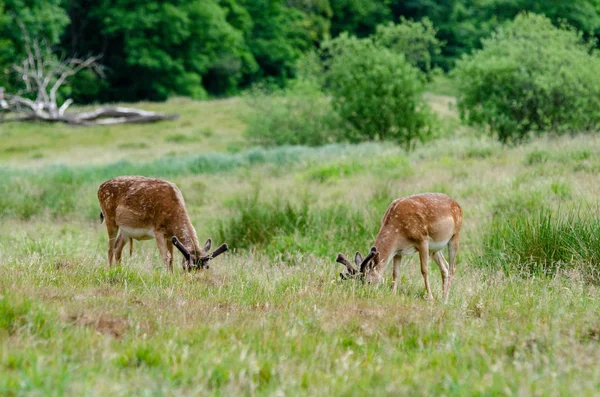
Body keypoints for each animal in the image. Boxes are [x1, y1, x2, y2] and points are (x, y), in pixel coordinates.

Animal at [97, 176, 229, 272]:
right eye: (187, 267)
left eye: (206, 267)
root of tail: (100, 188)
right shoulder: (158, 229)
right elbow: (166, 257)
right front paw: (167, 276)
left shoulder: (170, 235)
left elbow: (172, 258)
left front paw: (171, 274)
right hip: (109, 217)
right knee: (110, 248)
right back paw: (110, 271)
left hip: (125, 230)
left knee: (118, 247)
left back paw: (120, 270)